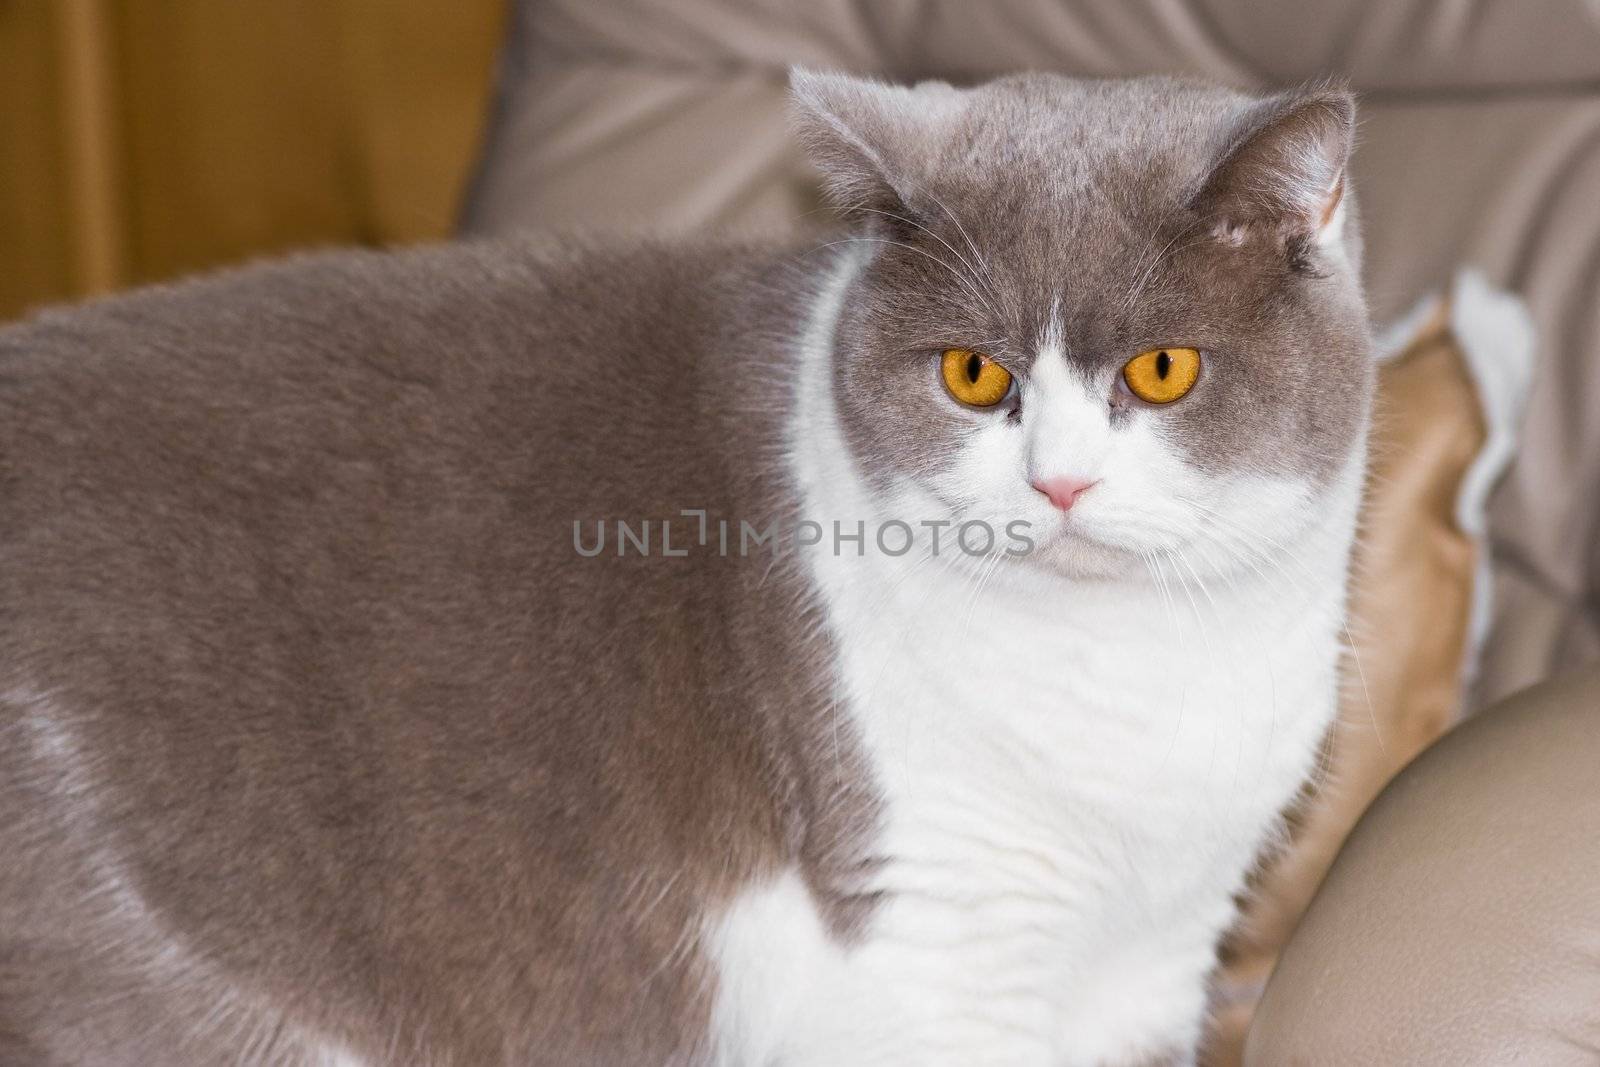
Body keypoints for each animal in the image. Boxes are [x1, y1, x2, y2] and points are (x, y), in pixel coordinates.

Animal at [0, 70, 1376, 1062]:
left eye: (1162, 369)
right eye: (973, 373)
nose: (1058, 481)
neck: (1125, 677)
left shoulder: (1159, 955)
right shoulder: (920, 931)